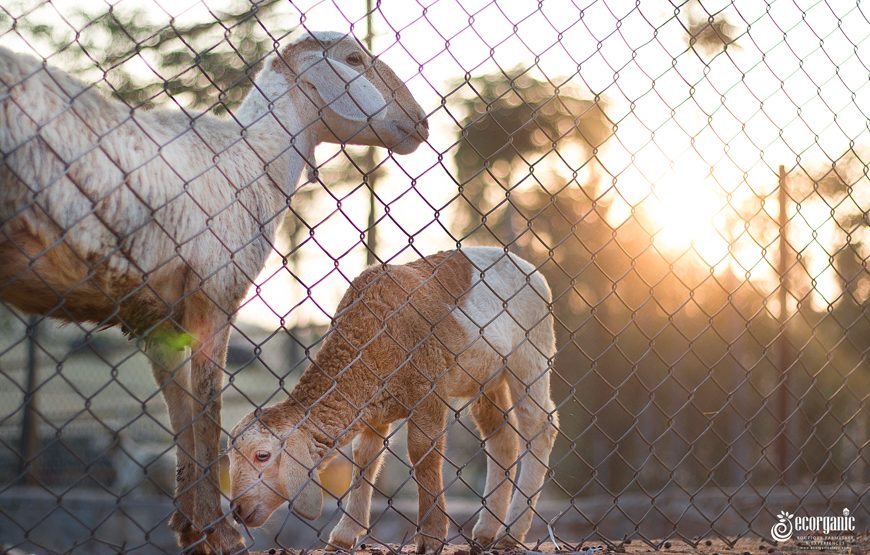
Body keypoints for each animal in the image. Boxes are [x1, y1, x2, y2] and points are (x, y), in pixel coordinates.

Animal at [0, 31, 430, 555]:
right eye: (353, 58)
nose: (422, 123)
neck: (253, 155)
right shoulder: (216, 288)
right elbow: (208, 407)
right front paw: (220, 531)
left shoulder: (152, 317)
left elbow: (180, 408)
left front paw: (190, 525)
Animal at [228, 249, 564, 555]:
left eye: (262, 455)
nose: (237, 510)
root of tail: (529, 268)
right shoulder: (372, 409)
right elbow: (364, 458)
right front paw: (344, 536)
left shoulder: (428, 386)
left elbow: (423, 452)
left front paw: (431, 537)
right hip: (487, 379)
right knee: (502, 438)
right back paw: (487, 532)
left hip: (531, 352)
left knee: (539, 427)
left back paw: (512, 533)